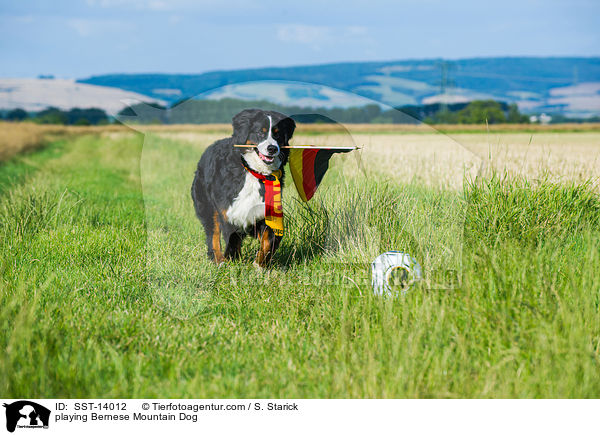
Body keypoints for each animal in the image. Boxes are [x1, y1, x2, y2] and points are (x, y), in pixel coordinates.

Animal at [192, 107, 296, 268]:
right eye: (260, 132)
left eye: (277, 134)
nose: (272, 148)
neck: (254, 172)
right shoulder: (229, 212)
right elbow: (232, 243)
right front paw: (234, 265)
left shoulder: (266, 212)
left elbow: (269, 241)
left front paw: (259, 266)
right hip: (208, 208)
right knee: (213, 235)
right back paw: (219, 261)